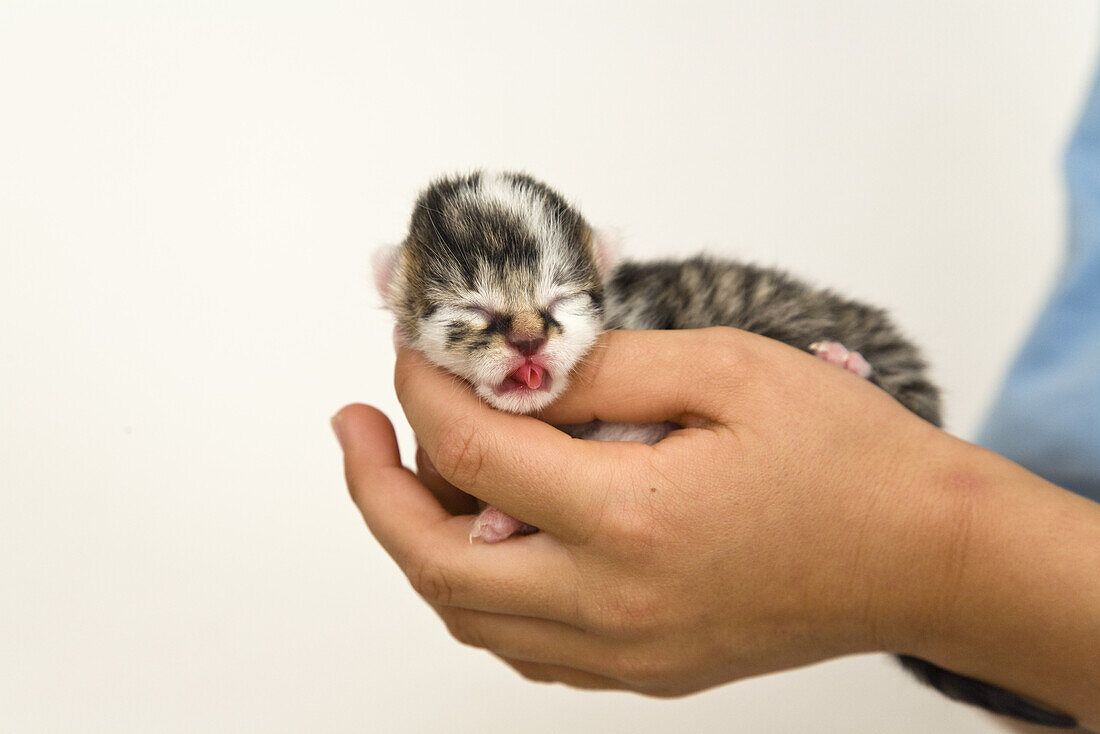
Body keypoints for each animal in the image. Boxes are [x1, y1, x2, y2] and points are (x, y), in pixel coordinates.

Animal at [374, 172, 1078, 730]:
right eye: (476, 309)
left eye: (559, 302)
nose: (527, 341)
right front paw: (502, 516)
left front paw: (507, 514)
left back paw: (846, 363)